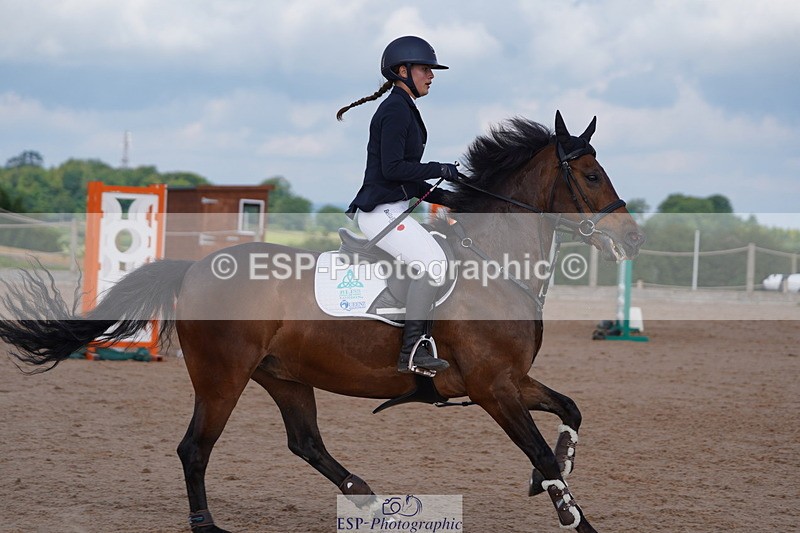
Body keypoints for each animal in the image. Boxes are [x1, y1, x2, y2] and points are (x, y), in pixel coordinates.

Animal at [0, 111, 645, 532]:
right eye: (591, 176)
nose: (633, 237)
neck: (493, 264)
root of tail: (195, 267)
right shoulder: (493, 387)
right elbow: (539, 449)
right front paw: (571, 512)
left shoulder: (512, 380)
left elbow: (569, 412)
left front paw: (554, 481)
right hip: (222, 377)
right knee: (195, 448)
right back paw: (208, 523)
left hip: (283, 375)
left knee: (304, 440)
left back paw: (367, 498)